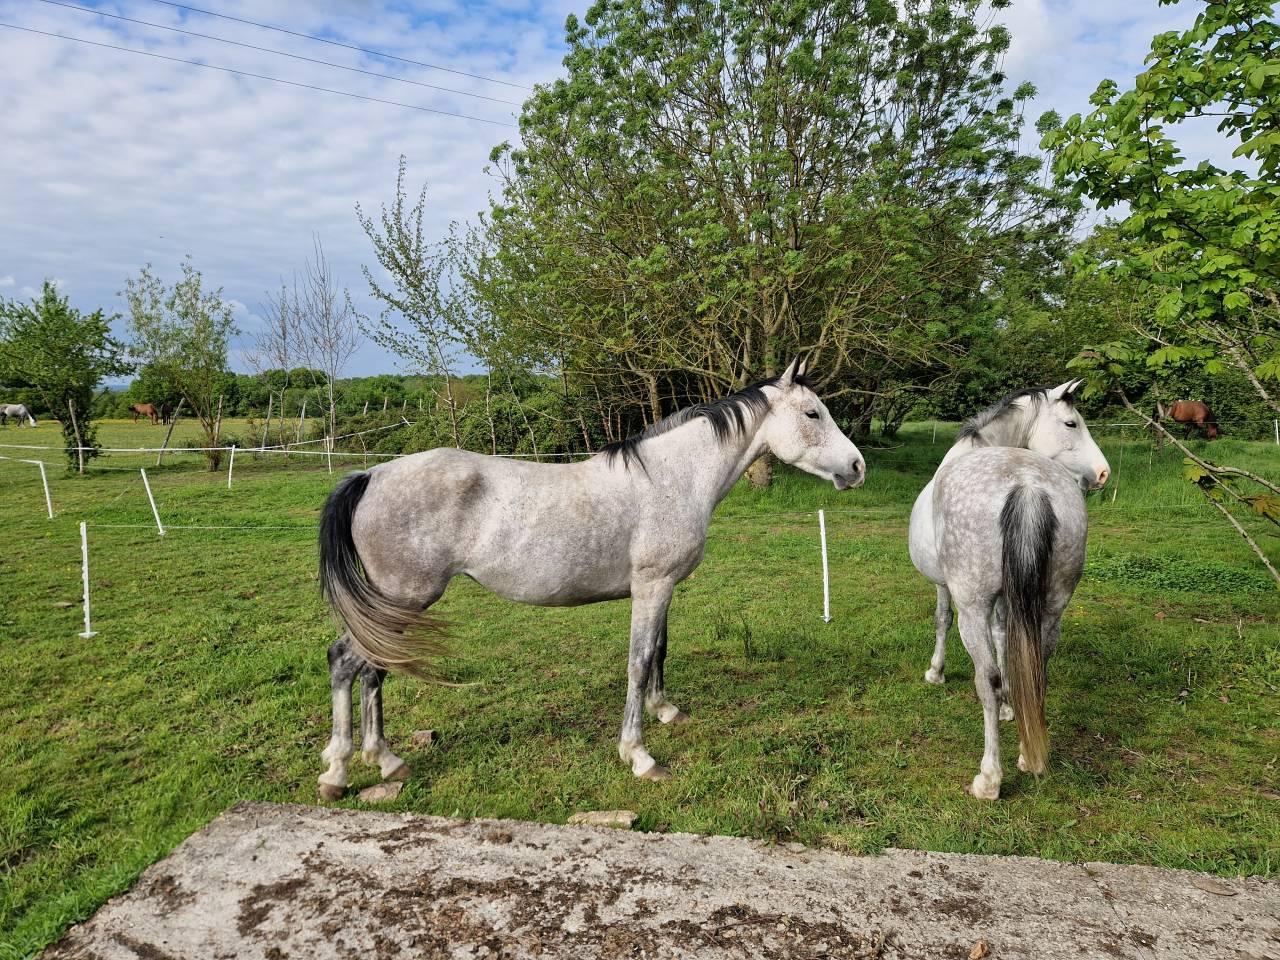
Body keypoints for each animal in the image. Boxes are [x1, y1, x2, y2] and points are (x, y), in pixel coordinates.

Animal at [314, 358, 865, 799]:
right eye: (812, 414)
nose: (857, 467)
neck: (673, 479)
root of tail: (371, 476)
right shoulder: (652, 586)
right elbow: (639, 662)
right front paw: (639, 755)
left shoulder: (662, 589)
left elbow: (660, 650)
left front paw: (666, 711)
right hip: (403, 599)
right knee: (346, 662)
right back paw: (338, 772)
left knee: (373, 669)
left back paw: (384, 760)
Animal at [907, 380, 1110, 800]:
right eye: (1071, 423)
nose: (1102, 474)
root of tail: (1026, 484)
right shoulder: (1009, 600)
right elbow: (1005, 639)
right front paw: (1008, 709)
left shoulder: (946, 587)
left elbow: (942, 620)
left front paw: (935, 672)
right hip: (1052, 605)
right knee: (1037, 668)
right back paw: (1029, 758)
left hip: (972, 607)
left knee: (986, 677)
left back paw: (990, 778)